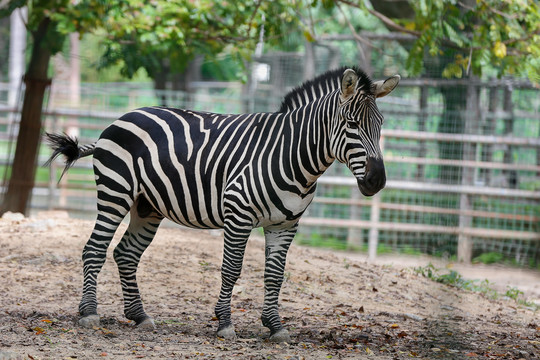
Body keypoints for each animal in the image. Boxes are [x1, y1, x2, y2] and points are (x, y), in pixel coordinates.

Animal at [46, 67, 398, 344]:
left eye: (381, 123)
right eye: (352, 124)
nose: (377, 181)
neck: (293, 156)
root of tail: (121, 117)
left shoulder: (285, 225)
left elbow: (275, 275)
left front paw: (275, 326)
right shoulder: (238, 214)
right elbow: (231, 269)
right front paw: (225, 323)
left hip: (147, 206)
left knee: (126, 254)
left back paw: (139, 315)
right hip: (115, 193)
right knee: (94, 249)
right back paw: (89, 313)